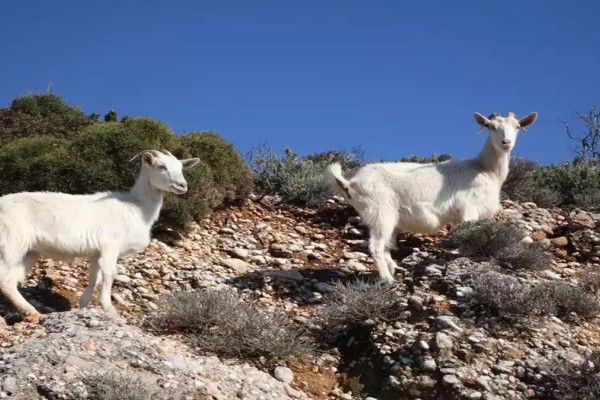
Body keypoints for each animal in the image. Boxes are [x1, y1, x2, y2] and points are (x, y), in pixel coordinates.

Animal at [0, 148, 199, 320]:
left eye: (181, 168)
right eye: (161, 166)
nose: (183, 185)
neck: (135, 208)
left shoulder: (96, 252)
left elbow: (94, 277)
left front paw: (82, 306)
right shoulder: (111, 244)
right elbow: (110, 272)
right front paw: (109, 309)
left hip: (30, 251)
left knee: (11, 279)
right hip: (12, 243)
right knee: (5, 279)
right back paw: (31, 311)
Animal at [328, 111, 540, 282]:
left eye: (517, 127)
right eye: (491, 126)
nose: (506, 143)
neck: (484, 169)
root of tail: (350, 183)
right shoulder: (469, 209)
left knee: (387, 245)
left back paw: (394, 268)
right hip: (381, 212)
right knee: (376, 247)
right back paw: (387, 279)